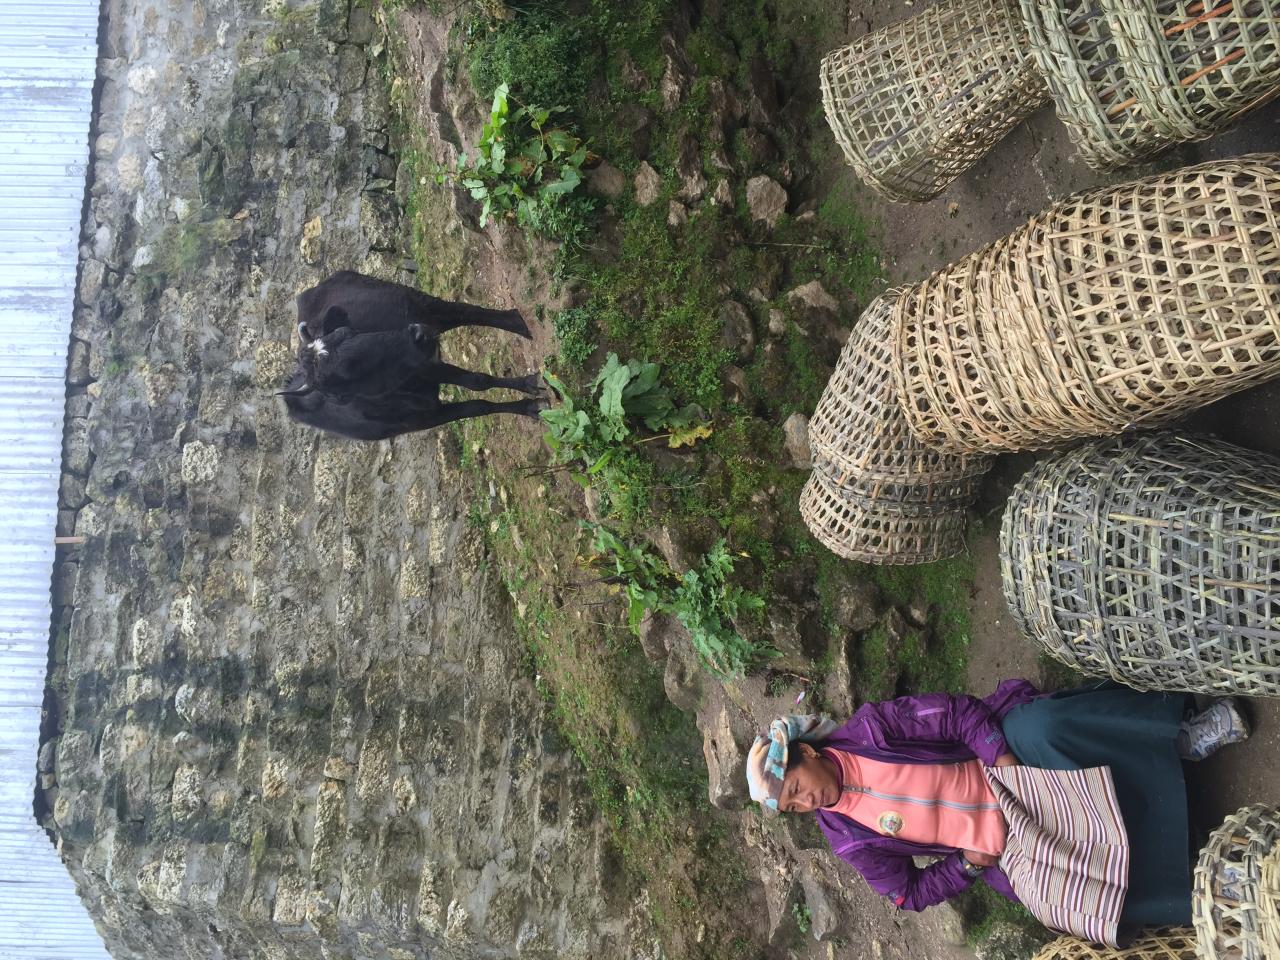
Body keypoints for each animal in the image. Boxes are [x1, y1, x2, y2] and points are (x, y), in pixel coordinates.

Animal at [277, 268, 542, 442]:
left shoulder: (424, 362)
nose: (417, 333)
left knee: (465, 312)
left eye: (348, 332)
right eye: (347, 369)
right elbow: (478, 402)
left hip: (417, 302)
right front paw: (530, 405)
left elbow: (478, 382)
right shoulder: (424, 413)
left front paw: (529, 388)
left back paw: (518, 322)